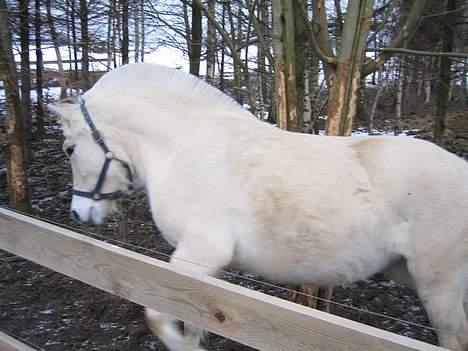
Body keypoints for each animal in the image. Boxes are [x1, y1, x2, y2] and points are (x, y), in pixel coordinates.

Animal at [51, 64, 468, 351]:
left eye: (70, 149)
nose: (78, 213)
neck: (182, 148)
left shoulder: (199, 252)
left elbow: (158, 315)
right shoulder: (204, 267)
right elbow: (196, 315)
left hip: (438, 285)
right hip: (409, 272)